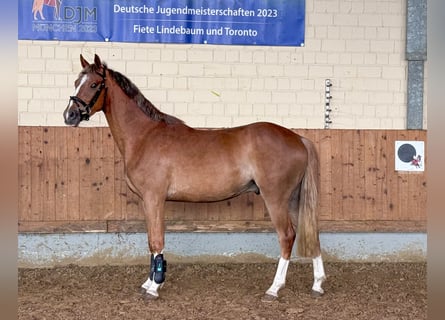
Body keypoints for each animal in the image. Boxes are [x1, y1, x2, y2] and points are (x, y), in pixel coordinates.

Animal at [63, 54, 326, 300]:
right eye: (76, 82)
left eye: (94, 84)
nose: (70, 115)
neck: (145, 135)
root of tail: (298, 138)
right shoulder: (148, 201)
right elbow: (151, 241)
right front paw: (149, 282)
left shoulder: (154, 198)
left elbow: (156, 240)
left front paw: (154, 287)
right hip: (294, 199)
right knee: (311, 233)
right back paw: (317, 284)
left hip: (276, 198)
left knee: (287, 236)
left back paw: (274, 288)